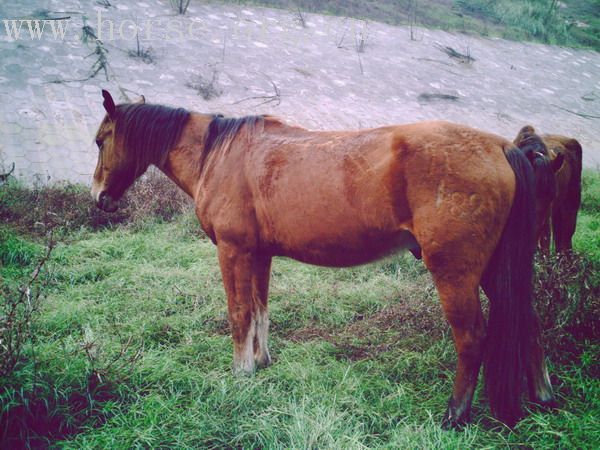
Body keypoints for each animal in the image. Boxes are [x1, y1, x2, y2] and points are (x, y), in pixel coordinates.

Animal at [91, 90, 556, 428]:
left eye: (100, 140)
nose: (98, 197)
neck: (219, 154)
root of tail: (502, 148)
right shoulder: (259, 255)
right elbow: (260, 309)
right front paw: (261, 363)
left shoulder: (233, 251)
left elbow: (239, 312)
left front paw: (241, 373)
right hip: (496, 270)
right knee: (529, 321)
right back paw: (543, 397)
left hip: (455, 274)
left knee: (471, 338)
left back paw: (454, 415)